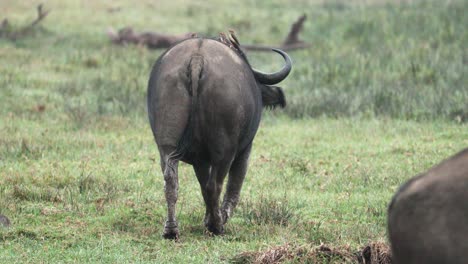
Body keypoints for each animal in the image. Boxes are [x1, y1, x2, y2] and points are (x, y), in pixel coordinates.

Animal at [148, 36, 290, 238]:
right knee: (215, 185)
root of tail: (197, 58)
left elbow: (201, 184)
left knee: (171, 181)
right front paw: (216, 218)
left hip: (166, 145)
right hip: (225, 149)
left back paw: (171, 229)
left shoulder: (200, 160)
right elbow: (233, 187)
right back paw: (217, 225)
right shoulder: (244, 151)